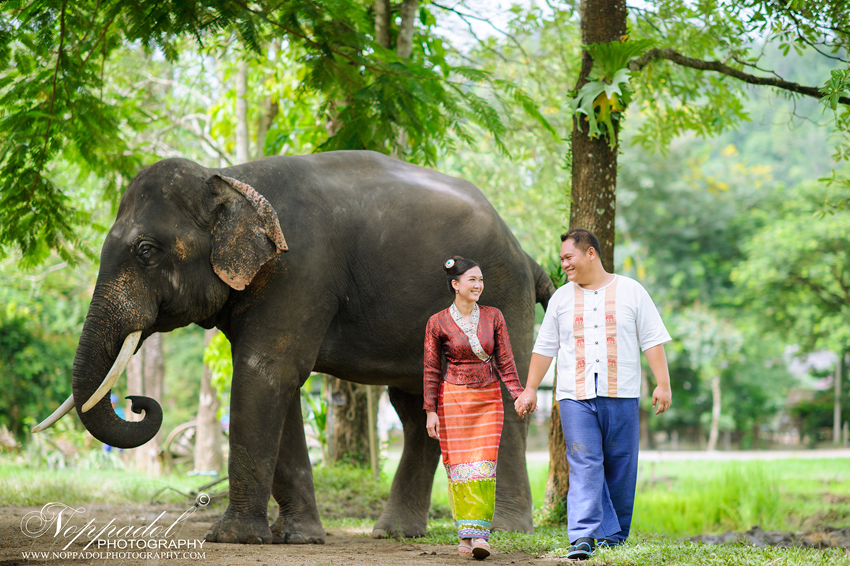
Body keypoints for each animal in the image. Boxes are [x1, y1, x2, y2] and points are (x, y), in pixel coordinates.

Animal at [36, 150, 556, 544]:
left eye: (146, 250)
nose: (137, 401)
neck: (230, 179)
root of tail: (527, 256)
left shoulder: (299, 270)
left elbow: (264, 372)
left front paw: (231, 538)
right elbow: (275, 382)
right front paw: (300, 537)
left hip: (501, 294)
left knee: (501, 396)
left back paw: (505, 530)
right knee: (415, 410)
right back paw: (394, 534)